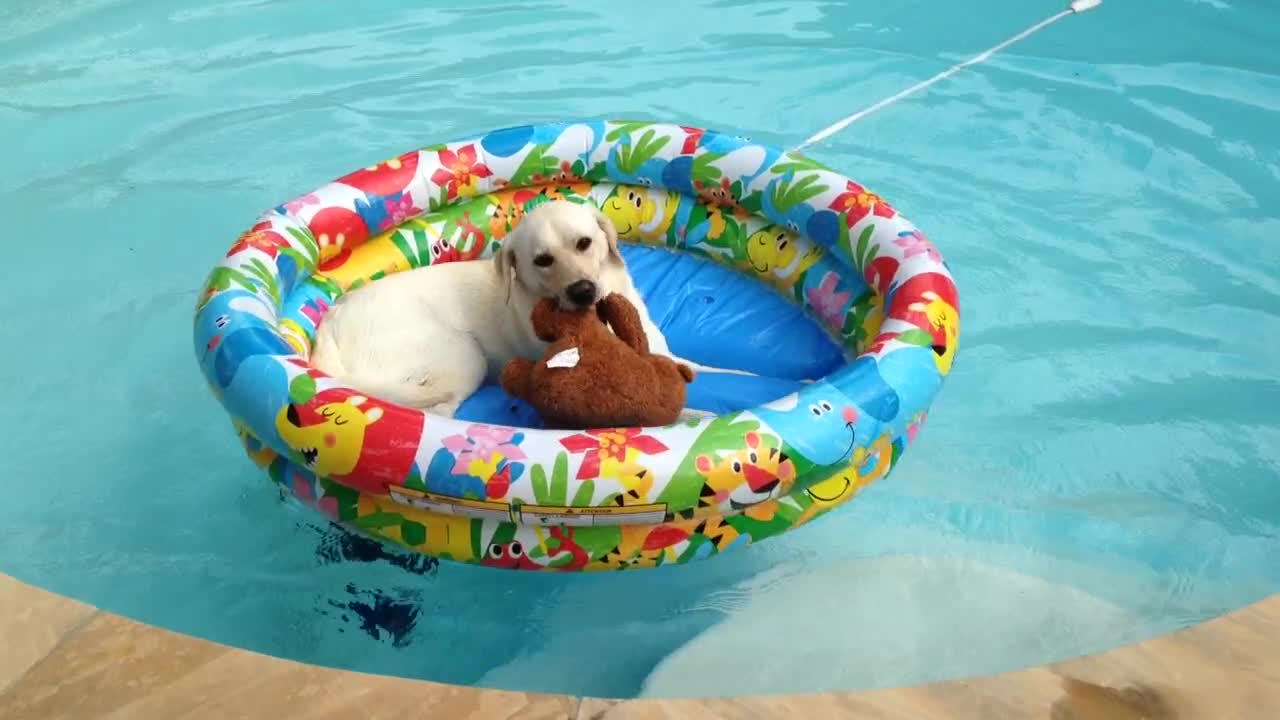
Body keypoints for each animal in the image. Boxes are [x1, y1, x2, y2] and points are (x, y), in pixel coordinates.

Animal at [308, 198, 742, 417]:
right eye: (542, 260)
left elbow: (724, 371)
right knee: (437, 409)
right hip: (463, 355)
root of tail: (331, 323)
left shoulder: (672, 356)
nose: (582, 291)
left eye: (585, 243)